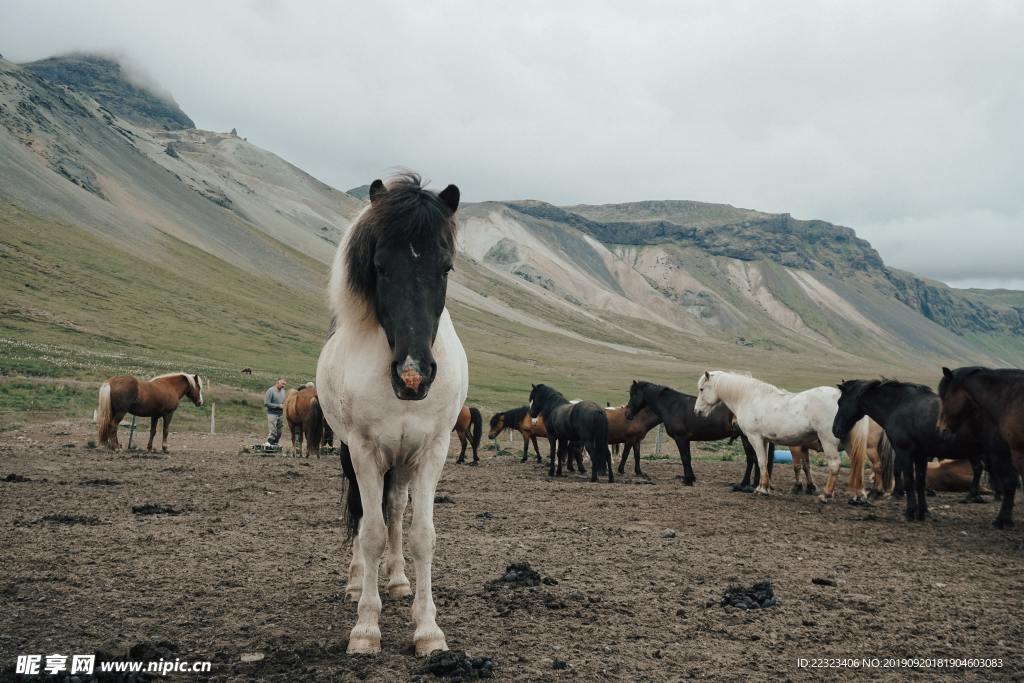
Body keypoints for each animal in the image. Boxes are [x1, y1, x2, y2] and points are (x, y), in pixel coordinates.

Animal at [315, 172, 468, 655]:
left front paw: (428, 629)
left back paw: (399, 580)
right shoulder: (363, 450)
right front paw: (366, 627)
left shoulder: (434, 449)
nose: (413, 375)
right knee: (366, 515)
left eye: (445, 268)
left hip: (403, 460)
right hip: (354, 452)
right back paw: (356, 582)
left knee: (397, 507)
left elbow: (421, 535)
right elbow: (371, 532)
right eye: (380, 267)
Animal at [622, 382, 774, 489]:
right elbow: (688, 458)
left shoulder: (681, 438)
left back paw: (744, 484)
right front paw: (690, 478)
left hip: (747, 437)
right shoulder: (686, 439)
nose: (627, 414)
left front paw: (688, 480)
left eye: (634, 395)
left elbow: (684, 458)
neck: (673, 406)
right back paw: (753, 484)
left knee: (752, 458)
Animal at [700, 368, 876, 501]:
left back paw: (826, 495)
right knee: (858, 465)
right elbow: (765, 463)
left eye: (701, 389)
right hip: (849, 443)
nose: (698, 411)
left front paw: (761, 489)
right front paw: (764, 487)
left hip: (829, 442)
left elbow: (761, 462)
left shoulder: (755, 438)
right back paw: (859, 496)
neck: (750, 398)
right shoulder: (765, 440)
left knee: (834, 465)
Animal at [835, 376, 1011, 528]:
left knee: (1006, 481)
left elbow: (909, 481)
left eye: (839, 401)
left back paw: (999, 518)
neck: (898, 405)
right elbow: (920, 482)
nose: (835, 429)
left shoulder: (905, 452)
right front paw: (922, 512)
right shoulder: (921, 455)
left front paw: (910, 512)